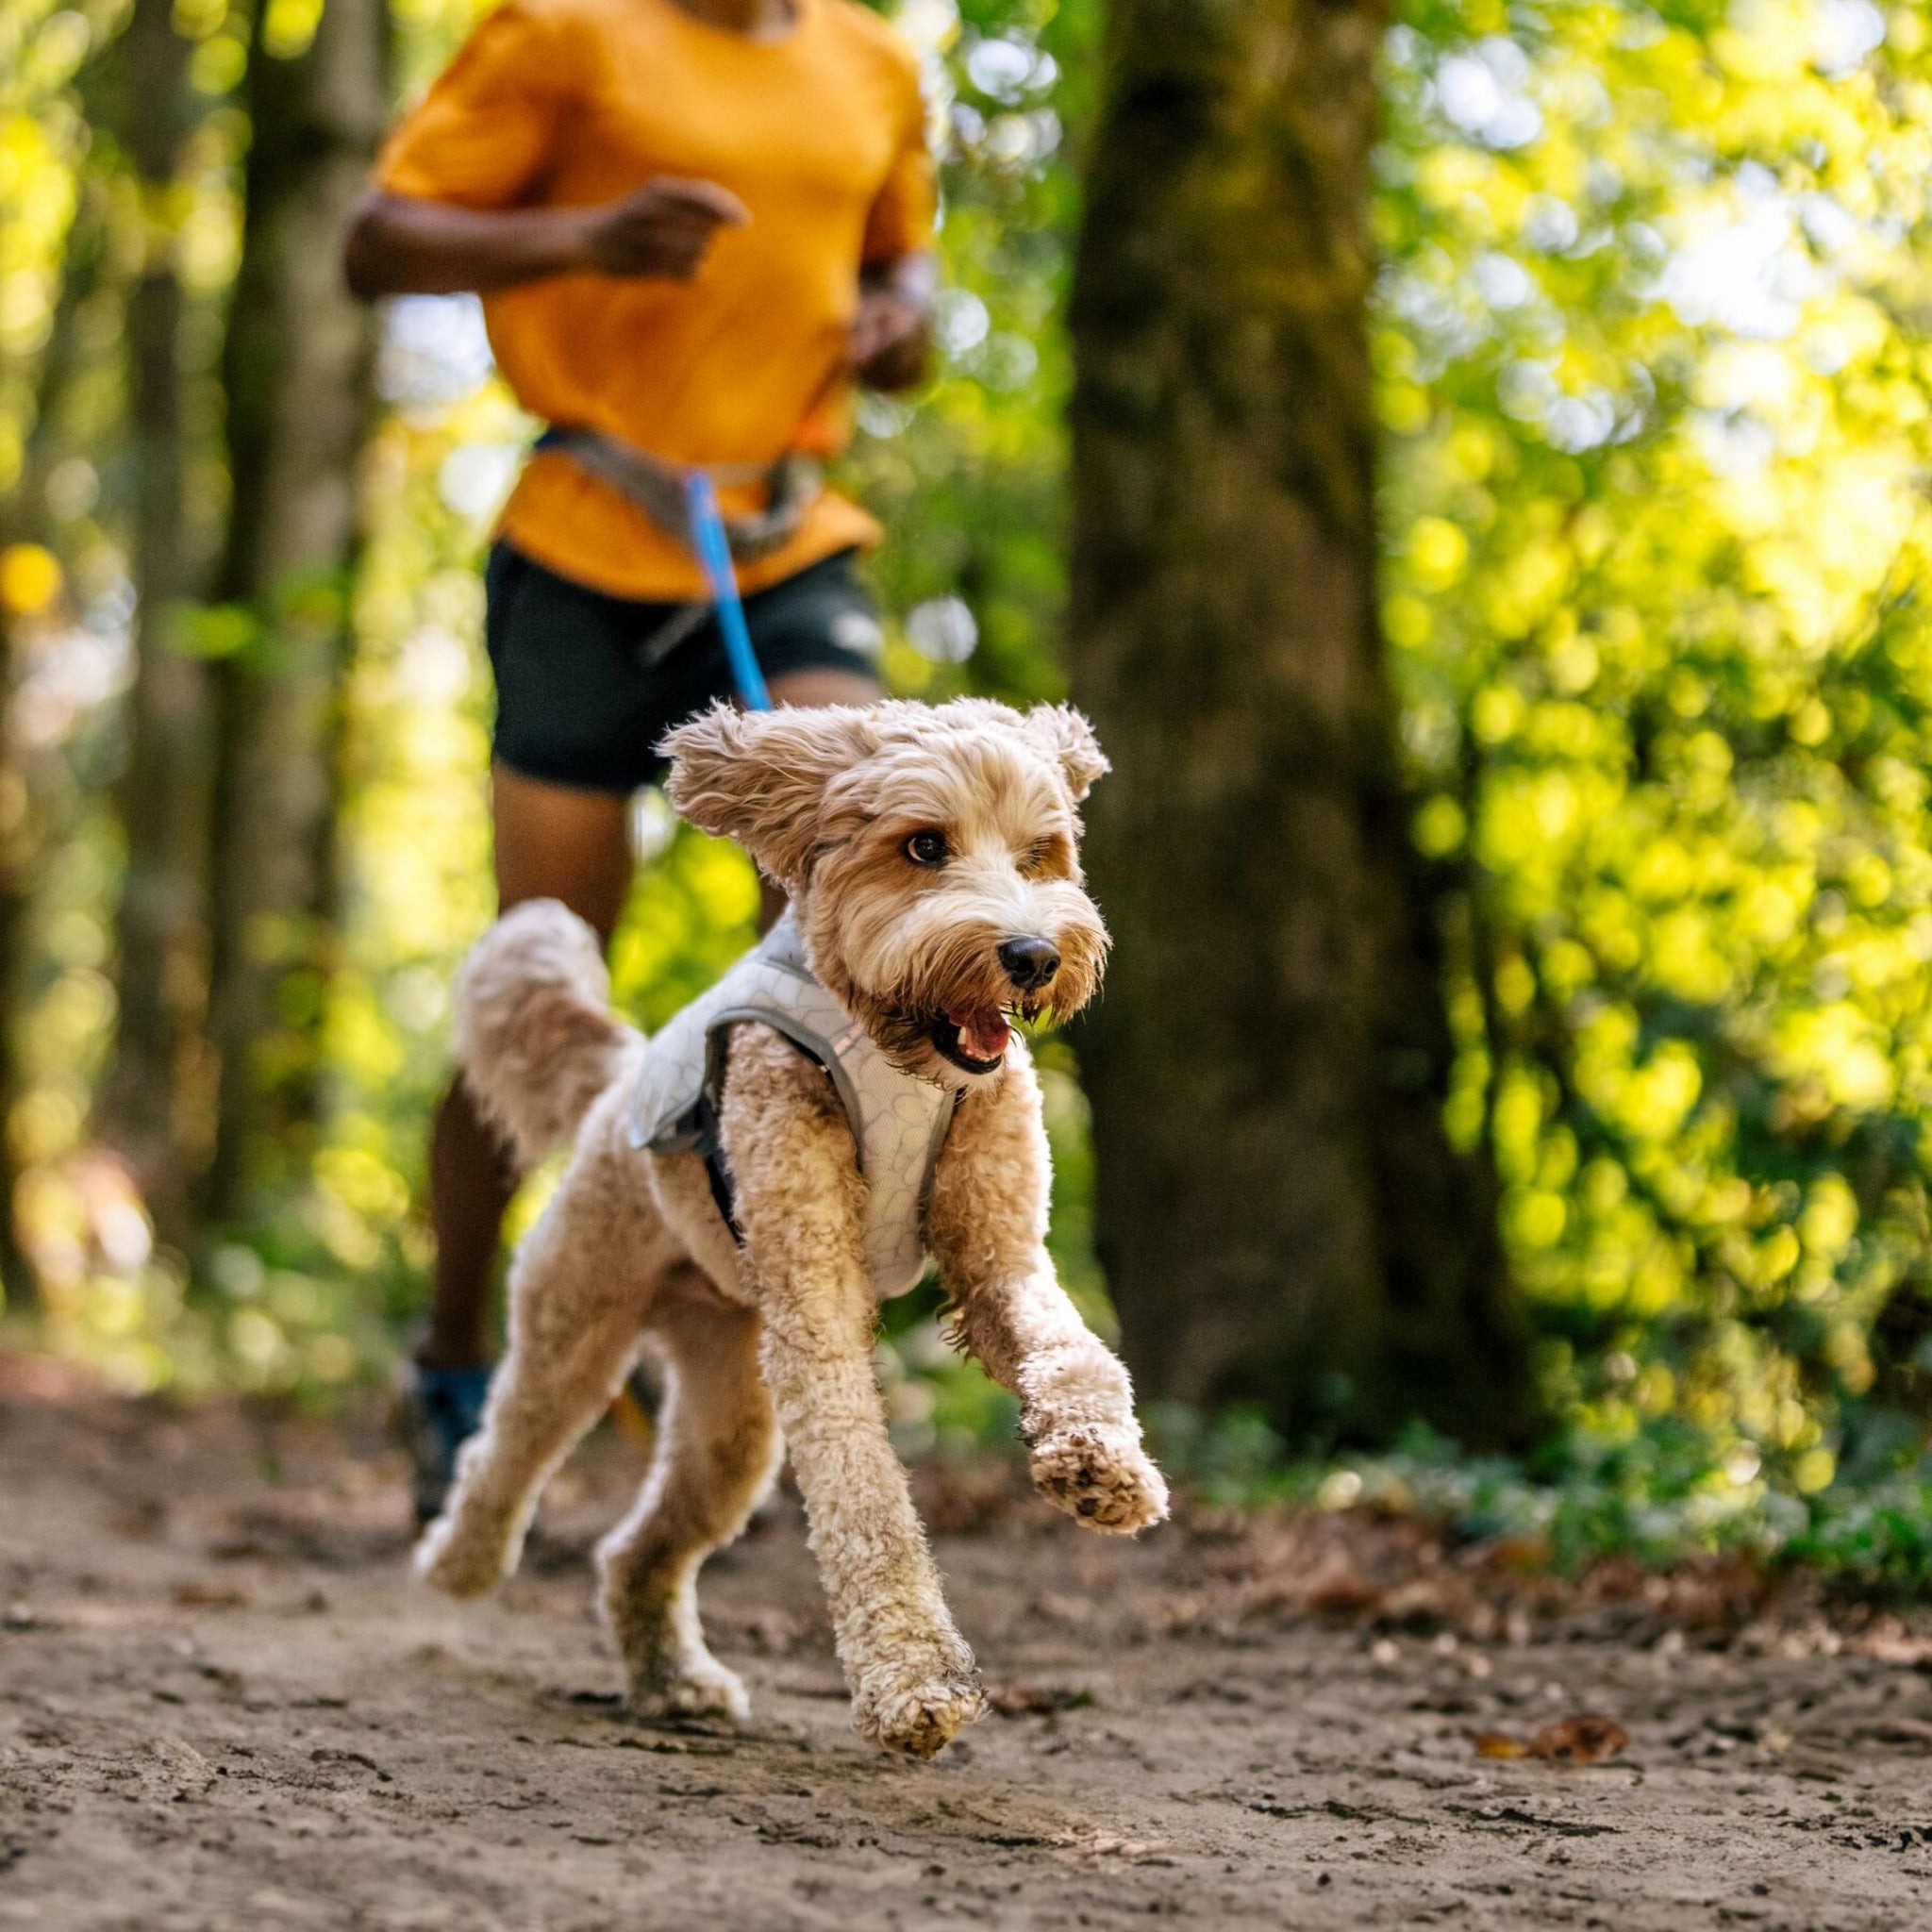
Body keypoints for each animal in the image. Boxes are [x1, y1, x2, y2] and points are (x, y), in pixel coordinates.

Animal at [417, 695, 1166, 1754]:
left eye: (1039, 852)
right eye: (924, 845)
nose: (1031, 956)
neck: (894, 1052)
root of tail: (621, 1077)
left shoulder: (1001, 1258)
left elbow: (1075, 1353)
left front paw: (1103, 1466)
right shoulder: (815, 1297)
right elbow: (863, 1488)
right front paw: (914, 1678)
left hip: (730, 1416)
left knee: (637, 1549)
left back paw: (674, 1681)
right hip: (575, 1319)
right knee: (508, 1446)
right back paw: (459, 1559)